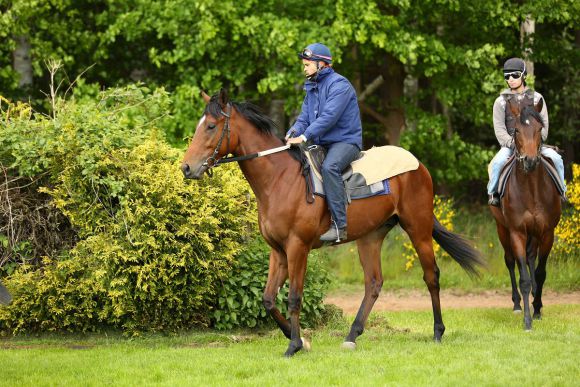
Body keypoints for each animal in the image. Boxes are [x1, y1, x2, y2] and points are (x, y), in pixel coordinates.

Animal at [181, 90, 484, 358]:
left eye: (210, 126)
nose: (186, 168)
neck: (279, 179)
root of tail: (418, 165)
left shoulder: (297, 248)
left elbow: (294, 297)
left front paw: (294, 345)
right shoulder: (278, 251)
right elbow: (268, 299)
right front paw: (300, 339)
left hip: (417, 229)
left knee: (431, 276)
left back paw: (438, 331)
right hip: (370, 237)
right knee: (373, 283)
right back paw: (351, 336)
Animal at [490, 98, 560, 332]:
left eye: (539, 129)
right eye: (517, 130)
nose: (530, 161)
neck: (531, 189)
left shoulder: (547, 233)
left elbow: (539, 272)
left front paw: (537, 309)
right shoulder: (517, 232)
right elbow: (524, 279)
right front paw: (527, 320)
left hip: (535, 234)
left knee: (531, 259)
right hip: (502, 229)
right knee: (511, 262)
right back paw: (517, 304)